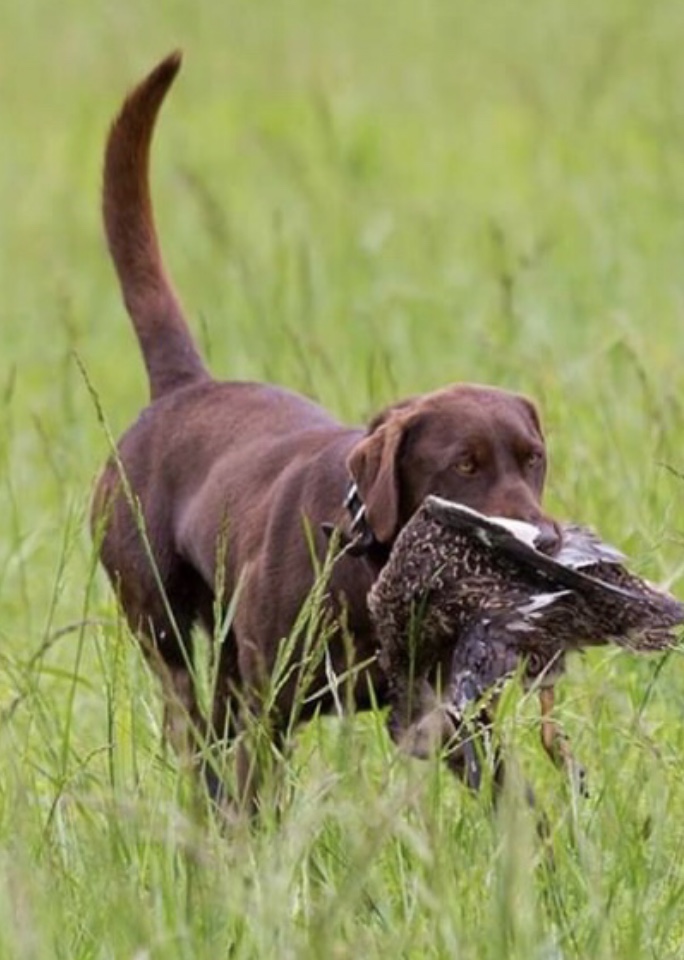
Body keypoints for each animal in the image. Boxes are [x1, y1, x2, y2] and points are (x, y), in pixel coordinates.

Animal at [92, 50, 560, 804]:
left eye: (533, 458)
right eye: (464, 464)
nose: (543, 541)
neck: (370, 560)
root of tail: (185, 386)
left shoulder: (451, 711)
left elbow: (512, 799)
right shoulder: (269, 708)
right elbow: (254, 799)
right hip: (165, 632)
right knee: (197, 741)